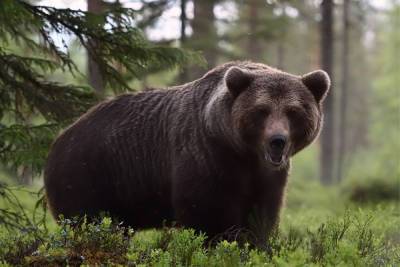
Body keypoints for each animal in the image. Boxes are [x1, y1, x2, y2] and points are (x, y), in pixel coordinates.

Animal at [44, 61, 332, 246]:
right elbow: (207, 215)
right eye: (261, 110)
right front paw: (220, 245)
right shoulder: (206, 157)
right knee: (85, 220)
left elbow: (262, 215)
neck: (242, 153)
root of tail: (59, 139)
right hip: (88, 174)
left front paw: (255, 245)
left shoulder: (267, 177)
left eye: (294, 111)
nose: (277, 141)